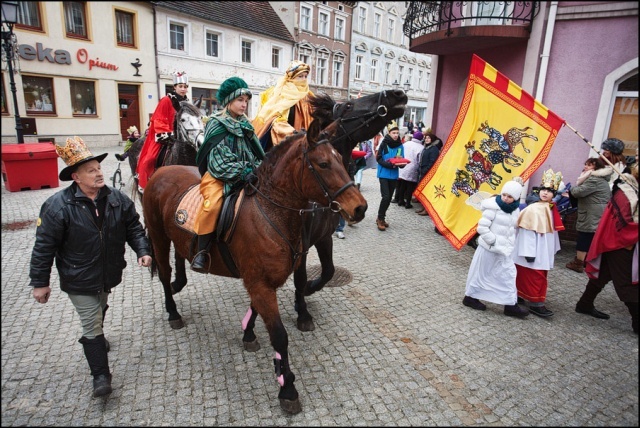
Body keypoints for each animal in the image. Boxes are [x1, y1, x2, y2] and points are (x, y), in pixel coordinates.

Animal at [142, 118, 368, 412]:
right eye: (323, 164)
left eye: (341, 159)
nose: (360, 208)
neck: (269, 213)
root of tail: (161, 172)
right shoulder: (260, 283)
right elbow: (280, 335)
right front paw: (287, 388)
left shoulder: (262, 280)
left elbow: (257, 311)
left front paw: (248, 334)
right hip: (158, 236)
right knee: (163, 272)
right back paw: (173, 312)